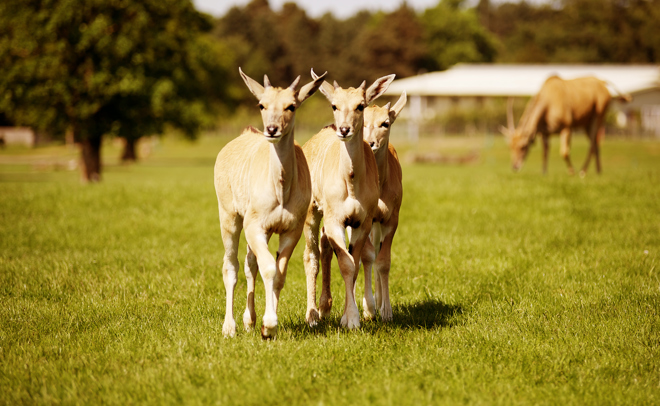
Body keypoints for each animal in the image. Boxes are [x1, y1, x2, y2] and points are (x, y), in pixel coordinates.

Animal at [215, 67, 326, 340]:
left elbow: (280, 273)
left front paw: (266, 326)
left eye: (291, 106)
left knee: (249, 263)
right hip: (229, 216)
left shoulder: (291, 230)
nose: (272, 129)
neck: (281, 189)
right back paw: (230, 327)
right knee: (231, 266)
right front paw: (270, 322)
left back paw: (249, 320)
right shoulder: (255, 226)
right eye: (261, 105)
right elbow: (269, 268)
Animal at [302, 70, 394, 330]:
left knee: (325, 247)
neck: (351, 184)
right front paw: (352, 319)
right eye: (334, 105)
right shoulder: (335, 219)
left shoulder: (362, 221)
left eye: (360, 105)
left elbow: (353, 264)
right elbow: (345, 262)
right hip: (312, 211)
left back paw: (324, 308)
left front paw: (348, 316)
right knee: (311, 256)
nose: (343, 129)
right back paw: (312, 315)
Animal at [502, 76, 632, 174]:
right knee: (595, 144)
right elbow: (545, 152)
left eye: (523, 147)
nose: (515, 166)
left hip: (597, 117)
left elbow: (564, 152)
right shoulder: (545, 133)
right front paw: (544, 173)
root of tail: (602, 81)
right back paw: (598, 172)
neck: (548, 103)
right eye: (510, 147)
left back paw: (583, 172)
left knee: (592, 145)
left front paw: (572, 172)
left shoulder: (567, 127)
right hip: (587, 124)